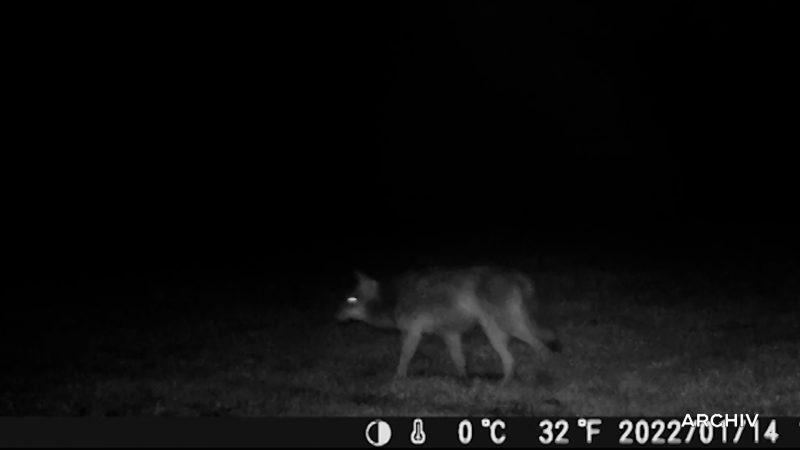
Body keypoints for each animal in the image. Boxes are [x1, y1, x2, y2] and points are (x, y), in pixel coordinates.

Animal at [334, 266, 560, 384]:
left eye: (351, 300)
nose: (336, 317)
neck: (394, 298)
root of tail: (517, 276)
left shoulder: (412, 333)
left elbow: (404, 358)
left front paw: (398, 378)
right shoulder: (450, 334)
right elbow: (459, 360)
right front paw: (464, 380)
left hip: (499, 330)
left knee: (536, 350)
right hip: (499, 330)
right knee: (521, 355)